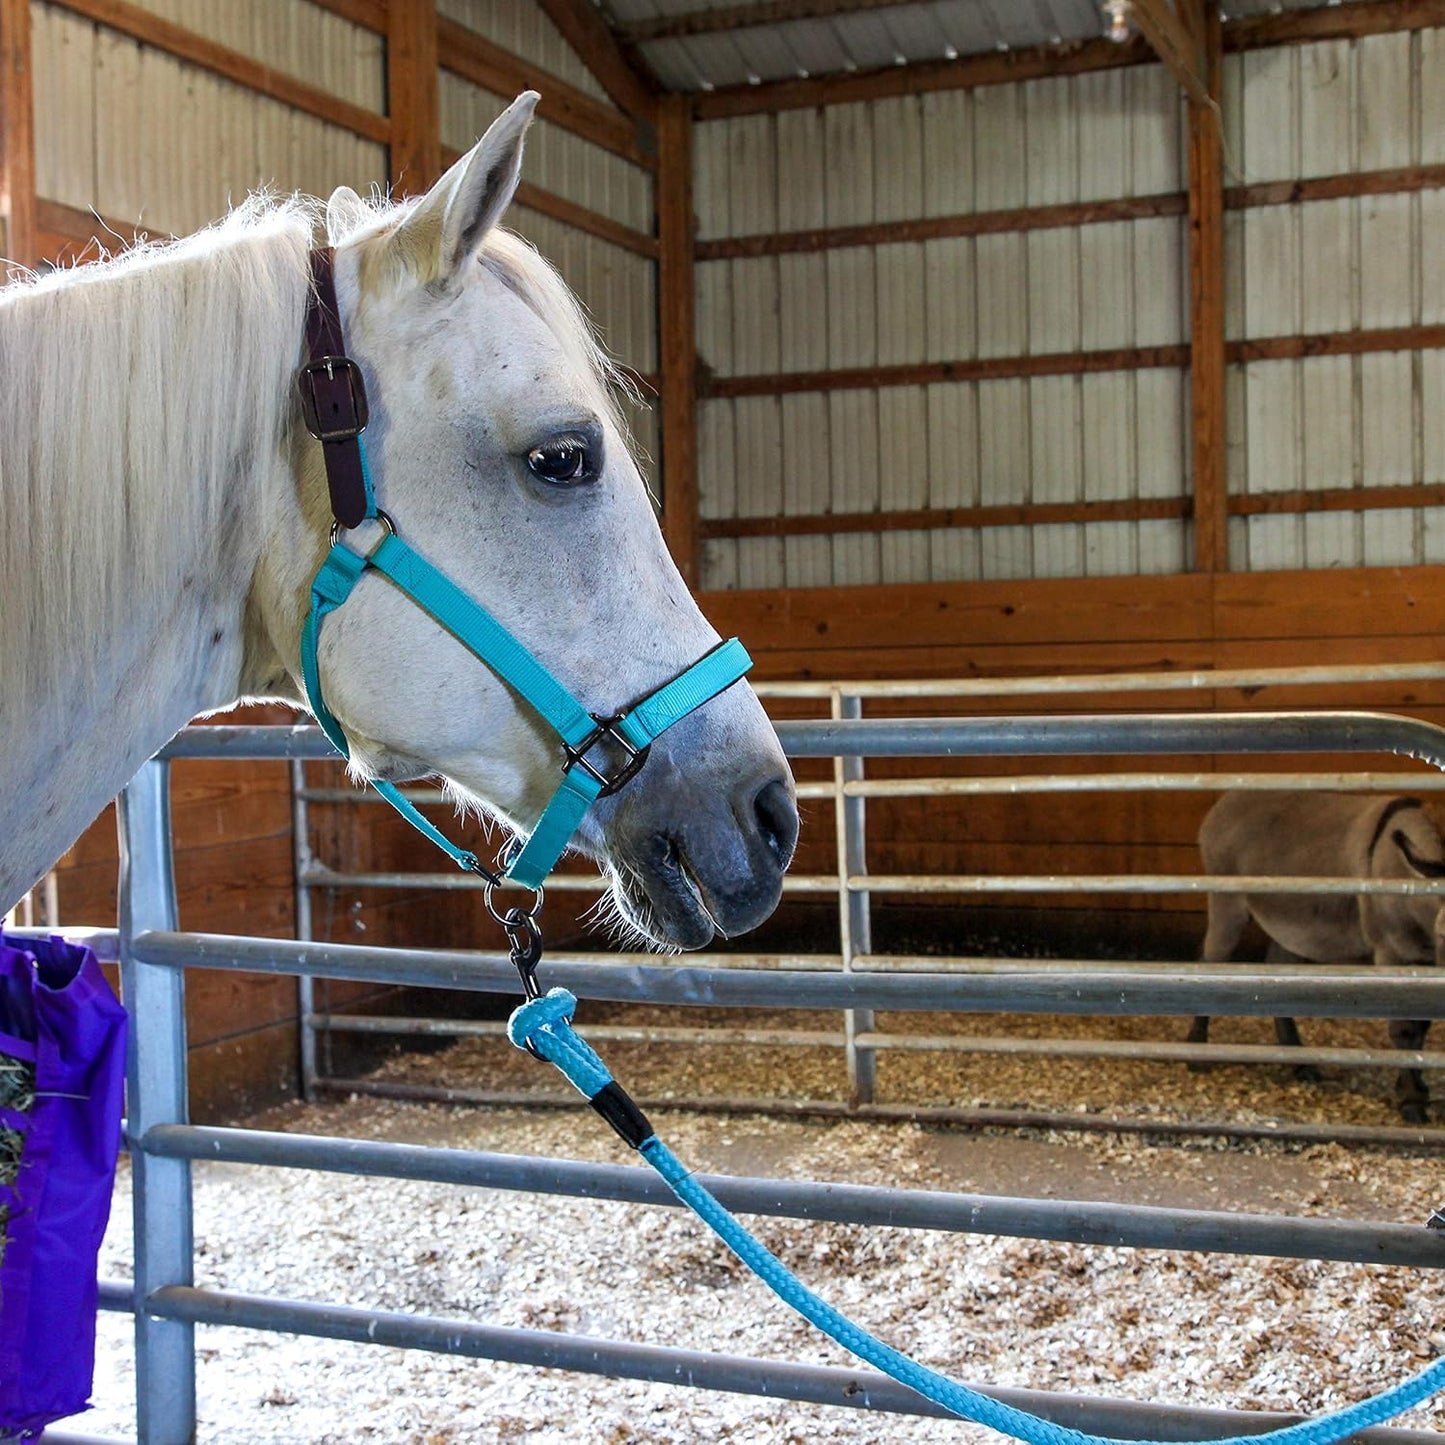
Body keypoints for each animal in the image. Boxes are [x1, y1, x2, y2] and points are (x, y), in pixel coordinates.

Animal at [1187, 790, 1441, 1122]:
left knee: (1277, 972)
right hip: (1227, 904)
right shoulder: (1391, 951)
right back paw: (1196, 1052)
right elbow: (1405, 1028)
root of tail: (1228, 798)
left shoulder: (1425, 961)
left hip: (1287, 925)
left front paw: (1418, 1087)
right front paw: (1411, 1100)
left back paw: (1299, 1062)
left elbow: (1423, 1023)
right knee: (1209, 962)